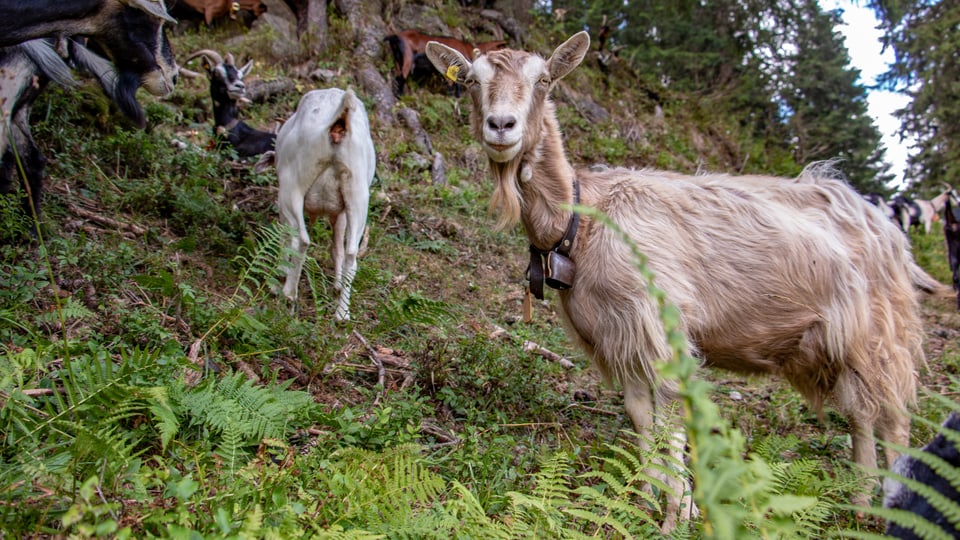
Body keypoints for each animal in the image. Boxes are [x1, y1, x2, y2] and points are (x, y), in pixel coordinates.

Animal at [255, 89, 376, 320]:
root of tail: (338, 122)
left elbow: (284, 237)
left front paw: (280, 274)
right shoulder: (341, 213)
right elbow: (337, 246)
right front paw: (336, 284)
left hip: (292, 187)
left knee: (300, 240)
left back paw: (288, 293)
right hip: (358, 194)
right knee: (351, 253)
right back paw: (342, 314)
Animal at [428, 30, 944, 532]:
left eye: (543, 81)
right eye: (471, 81)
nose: (501, 126)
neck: (584, 221)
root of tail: (884, 226)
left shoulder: (660, 326)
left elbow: (672, 424)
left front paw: (676, 516)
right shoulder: (617, 337)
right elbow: (642, 419)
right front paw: (639, 502)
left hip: (881, 333)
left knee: (893, 419)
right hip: (834, 345)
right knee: (861, 414)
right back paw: (858, 504)